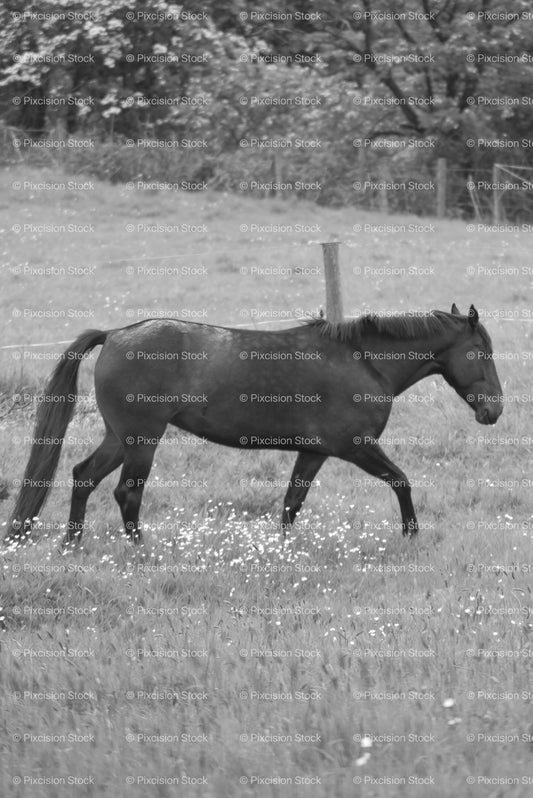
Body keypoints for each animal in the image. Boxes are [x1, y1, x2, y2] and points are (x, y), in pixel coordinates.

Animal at [6, 304, 503, 547]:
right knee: (126, 494)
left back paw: (72, 545)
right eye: (482, 351)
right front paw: (411, 536)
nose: (494, 411)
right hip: (142, 440)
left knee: (82, 478)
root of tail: (114, 334)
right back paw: (140, 552)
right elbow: (402, 481)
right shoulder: (356, 446)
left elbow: (291, 503)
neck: (364, 361)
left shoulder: (315, 451)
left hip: (120, 437)